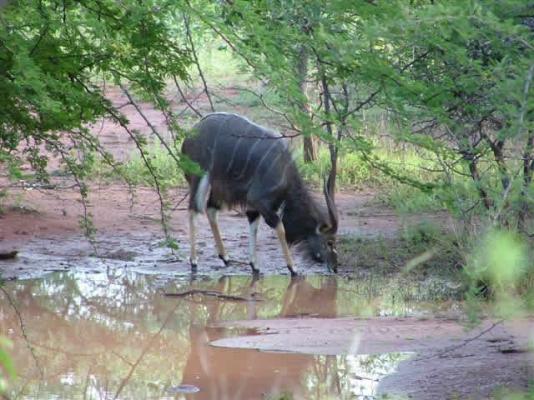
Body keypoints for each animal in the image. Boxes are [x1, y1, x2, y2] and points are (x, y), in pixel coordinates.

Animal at [183, 112, 340, 276]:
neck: (284, 171)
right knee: (194, 209)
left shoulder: (254, 206)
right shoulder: (259, 201)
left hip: (218, 187)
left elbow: (254, 226)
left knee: (210, 209)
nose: (335, 267)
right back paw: (194, 261)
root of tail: (191, 132)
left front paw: (255, 265)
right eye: (329, 242)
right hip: (199, 177)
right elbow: (280, 229)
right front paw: (293, 268)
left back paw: (225, 257)